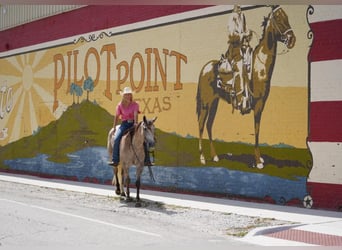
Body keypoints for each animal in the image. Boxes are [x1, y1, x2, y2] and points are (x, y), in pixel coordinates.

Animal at [196, 5, 296, 169]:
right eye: (279, 18)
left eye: (287, 16)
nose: (292, 39)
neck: (259, 67)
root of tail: (205, 68)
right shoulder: (259, 104)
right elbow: (256, 129)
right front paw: (258, 161)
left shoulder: (262, 104)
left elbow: (257, 128)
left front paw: (259, 159)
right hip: (205, 103)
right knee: (200, 124)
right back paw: (202, 158)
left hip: (214, 103)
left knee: (209, 125)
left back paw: (215, 156)